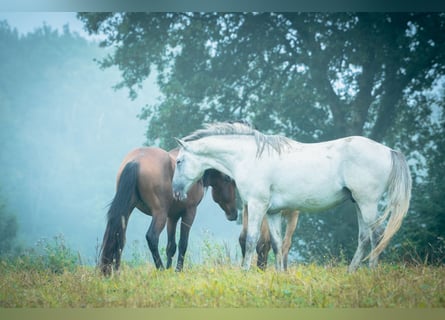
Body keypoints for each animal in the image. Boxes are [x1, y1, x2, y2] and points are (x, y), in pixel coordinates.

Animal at [99, 146, 239, 274]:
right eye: (228, 179)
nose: (234, 214)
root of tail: (136, 161)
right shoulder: (189, 212)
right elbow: (183, 243)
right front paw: (178, 270)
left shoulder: (172, 216)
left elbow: (171, 246)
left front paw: (170, 270)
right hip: (159, 213)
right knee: (152, 237)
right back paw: (160, 269)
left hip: (127, 211)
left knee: (119, 237)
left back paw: (115, 271)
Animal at [170, 121, 410, 272]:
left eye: (179, 161)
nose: (176, 192)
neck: (249, 157)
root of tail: (389, 151)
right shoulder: (273, 212)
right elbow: (277, 244)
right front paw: (278, 274)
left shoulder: (257, 206)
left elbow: (251, 240)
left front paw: (245, 272)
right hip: (359, 204)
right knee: (364, 237)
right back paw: (351, 272)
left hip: (367, 203)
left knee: (377, 235)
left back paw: (372, 272)